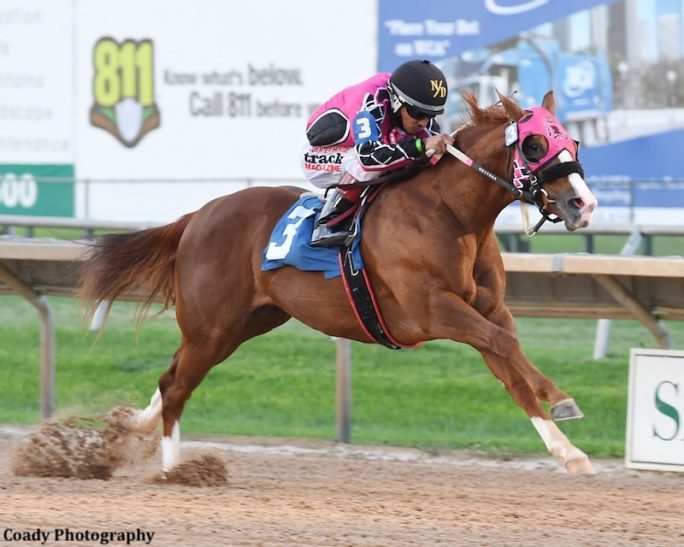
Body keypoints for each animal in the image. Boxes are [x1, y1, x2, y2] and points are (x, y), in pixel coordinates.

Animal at [79, 91, 598, 475]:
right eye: (533, 145)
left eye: (572, 141)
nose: (584, 204)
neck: (451, 214)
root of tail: (196, 216)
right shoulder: (435, 309)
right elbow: (505, 346)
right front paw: (564, 400)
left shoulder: (487, 311)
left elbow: (511, 368)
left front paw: (569, 450)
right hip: (212, 325)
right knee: (177, 386)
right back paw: (172, 469)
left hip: (245, 324)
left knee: (171, 378)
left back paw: (131, 425)